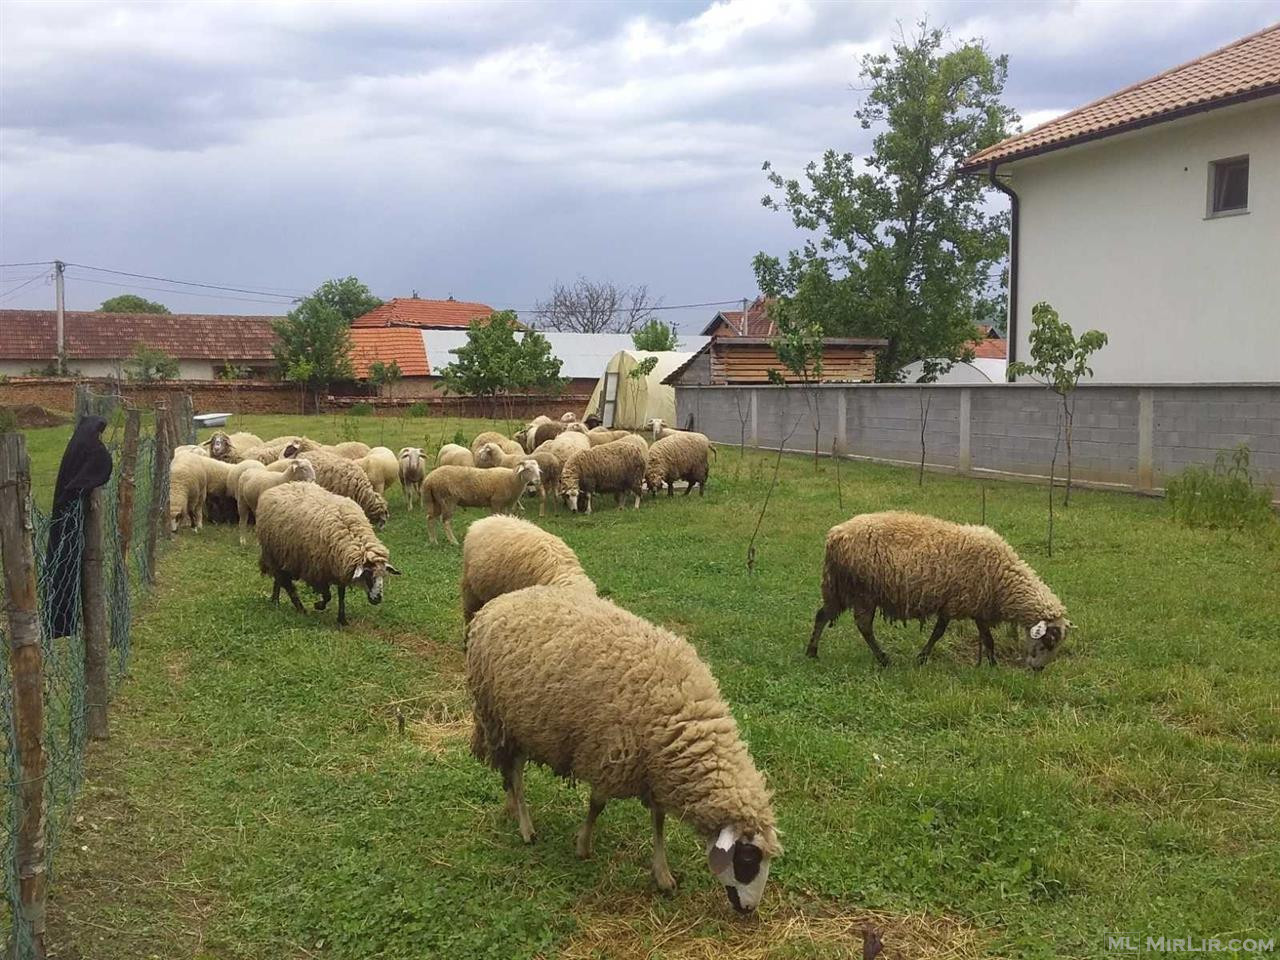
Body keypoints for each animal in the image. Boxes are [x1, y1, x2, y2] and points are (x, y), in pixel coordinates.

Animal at [254, 483, 399, 627]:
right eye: (368, 575)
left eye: (383, 576)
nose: (378, 599)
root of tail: (278, 487)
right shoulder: (317, 571)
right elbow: (328, 595)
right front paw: (319, 605)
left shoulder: (340, 567)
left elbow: (341, 594)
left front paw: (342, 619)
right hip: (275, 554)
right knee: (285, 582)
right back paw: (299, 608)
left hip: (281, 556)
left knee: (278, 579)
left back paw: (275, 600)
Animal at [465, 586, 778, 911]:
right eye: (747, 858)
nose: (749, 909)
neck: (685, 720)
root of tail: (498, 603)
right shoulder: (608, 755)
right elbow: (597, 805)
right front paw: (583, 845)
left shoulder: (653, 769)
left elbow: (658, 822)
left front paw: (662, 874)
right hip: (499, 718)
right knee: (514, 773)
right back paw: (526, 828)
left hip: (524, 724)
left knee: (510, 773)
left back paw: (512, 808)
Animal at [808, 512, 1070, 675]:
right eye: (1048, 642)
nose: (1038, 670)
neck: (1002, 579)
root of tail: (835, 535)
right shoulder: (956, 602)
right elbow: (942, 633)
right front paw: (922, 658)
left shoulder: (976, 606)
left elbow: (986, 638)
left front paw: (990, 664)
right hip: (863, 592)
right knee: (863, 626)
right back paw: (884, 659)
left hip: (840, 589)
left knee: (822, 615)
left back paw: (812, 653)